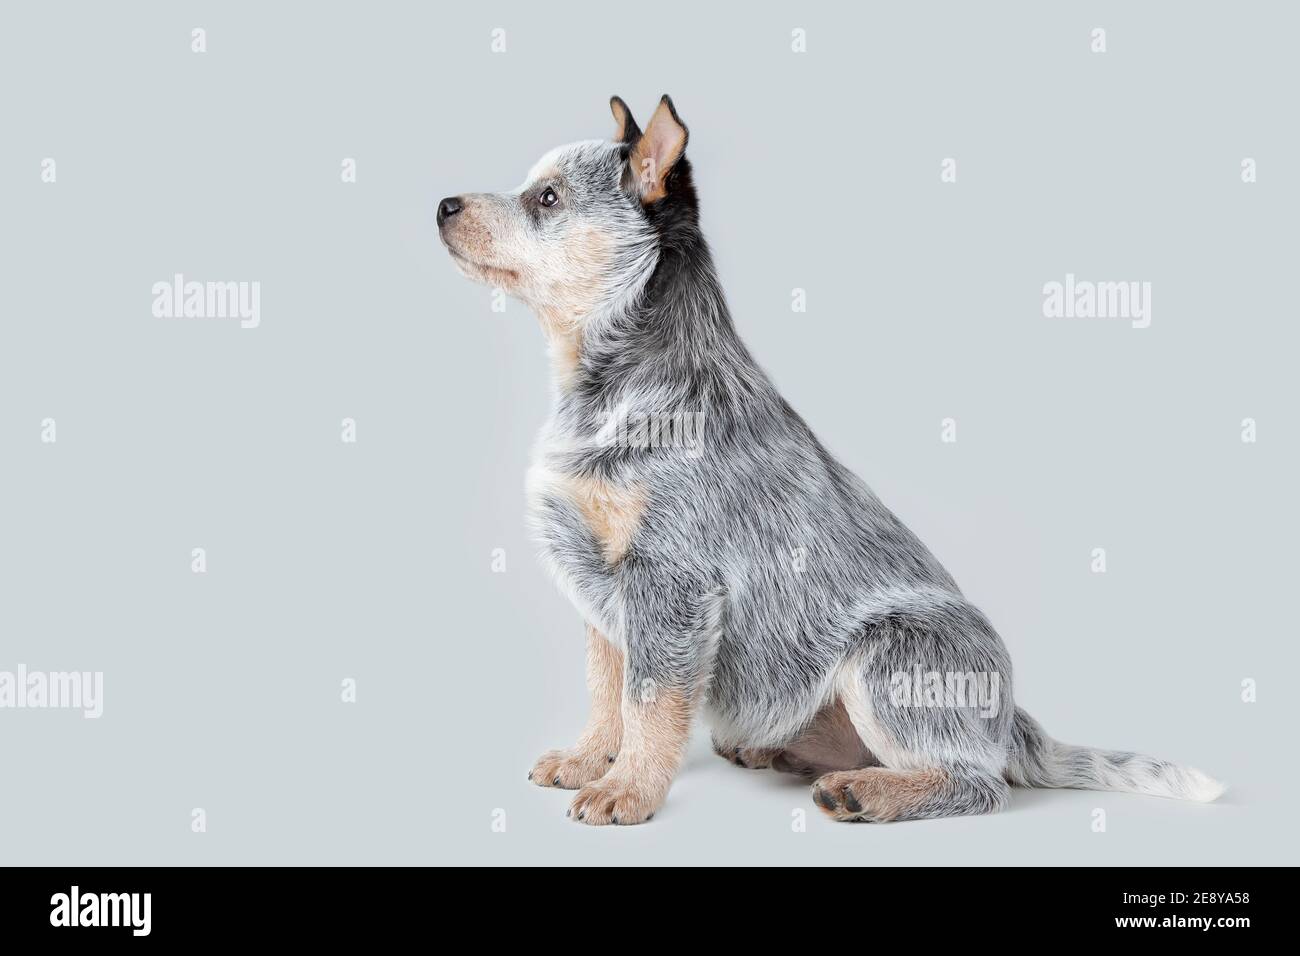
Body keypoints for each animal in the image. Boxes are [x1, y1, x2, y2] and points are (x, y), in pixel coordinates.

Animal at [439, 97, 1227, 827]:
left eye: (547, 198)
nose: (444, 203)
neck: (608, 387)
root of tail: (1010, 720)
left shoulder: (671, 583)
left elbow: (649, 703)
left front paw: (627, 790)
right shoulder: (601, 590)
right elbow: (608, 694)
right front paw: (588, 760)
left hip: (888, 656)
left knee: (979, 784)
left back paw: (866, 792)